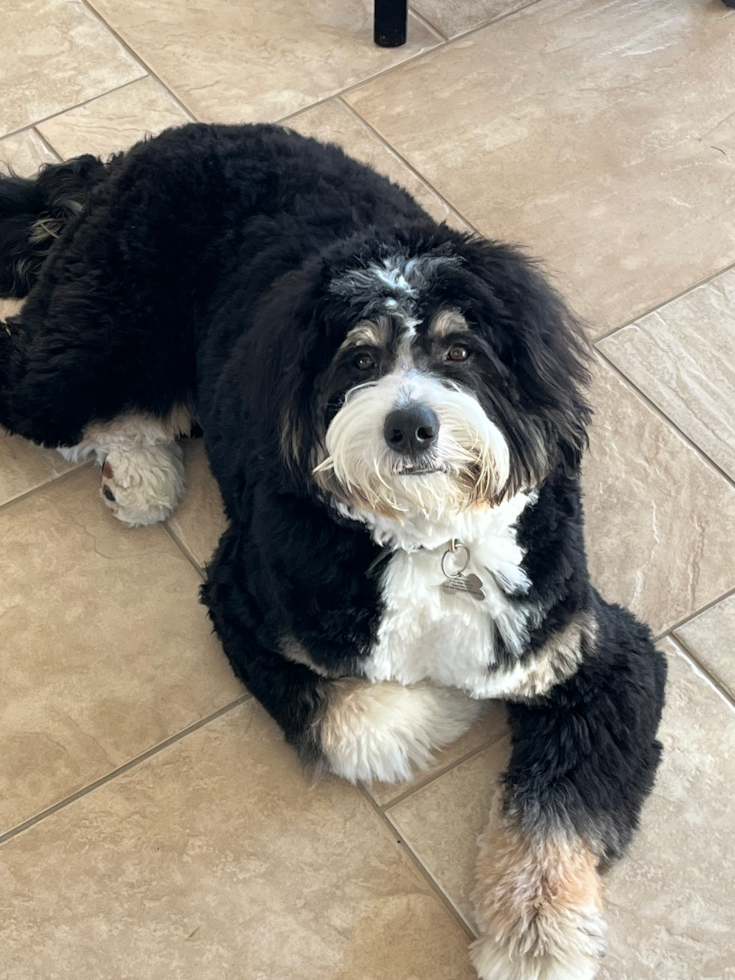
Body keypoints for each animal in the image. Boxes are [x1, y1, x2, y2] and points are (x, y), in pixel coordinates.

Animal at [0, 124, 668, 980]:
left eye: (460, 353)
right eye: (357, 359)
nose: (410, 426)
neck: (425, 536)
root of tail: (133, 155)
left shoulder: (593, 655)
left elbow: (557, 815)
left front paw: (536, 940)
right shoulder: (246, 600)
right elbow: (359, 719)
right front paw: (445, 706)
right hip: (95, 339)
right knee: (30, 381)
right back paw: (141, 474)